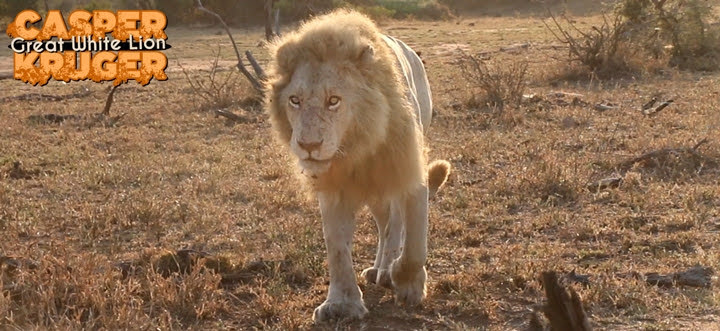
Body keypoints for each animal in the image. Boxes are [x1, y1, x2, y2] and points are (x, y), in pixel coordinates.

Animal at [264, 9, 450, 322]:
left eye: (333, 101)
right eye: (295, 100)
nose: (309, 145)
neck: (355, 147)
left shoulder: (408, 168)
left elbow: (415, 242)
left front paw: (408, 283)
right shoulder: (333, 186)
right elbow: (336, 246)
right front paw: (341, 304)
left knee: (395, 222)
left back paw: (387, 271)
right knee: (385, 223)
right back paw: (379, 267)